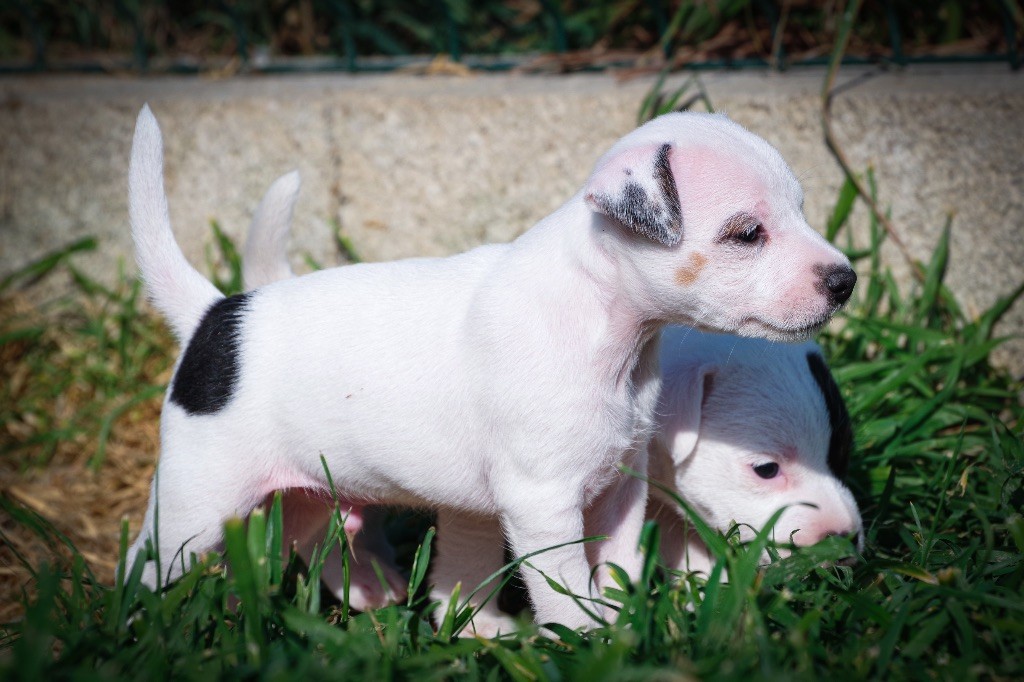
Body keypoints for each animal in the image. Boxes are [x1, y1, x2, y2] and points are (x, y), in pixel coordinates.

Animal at [125, 105, 855, 629]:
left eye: (800, 209)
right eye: (747, 233)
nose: (845, 280)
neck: (600, 319)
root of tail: (217, 315)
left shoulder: (620, 488)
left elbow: (615, 566)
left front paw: (625, 623)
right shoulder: (543, 507)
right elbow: (566, 591)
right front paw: (590, 642)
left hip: (306, 491)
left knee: (308, 541)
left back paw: (364, 595)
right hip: (198, 503)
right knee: (143, 564)